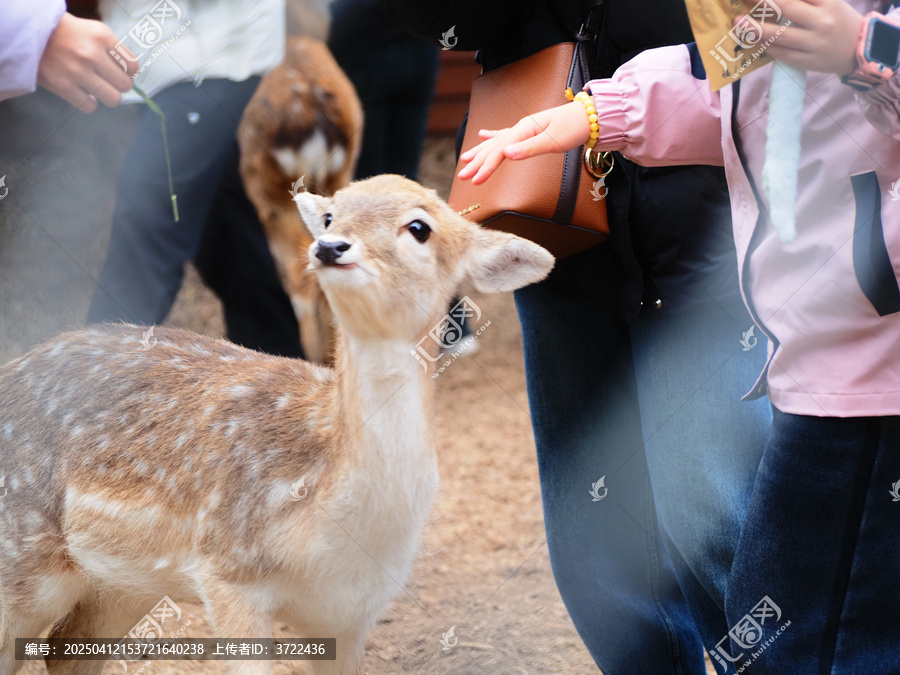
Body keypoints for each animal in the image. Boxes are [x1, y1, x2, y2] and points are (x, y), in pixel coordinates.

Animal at [0, 174, 554, 675]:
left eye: (419, 227)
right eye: (331, 215)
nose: (329, 246)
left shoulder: (355, 613)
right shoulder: (227, 571)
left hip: (121, 581)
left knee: (64, 650)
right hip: (18, 559)